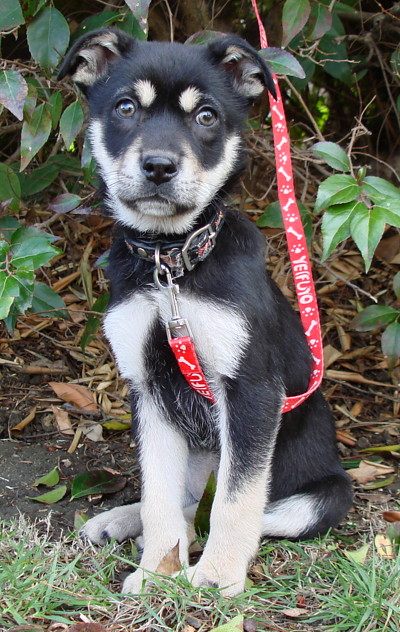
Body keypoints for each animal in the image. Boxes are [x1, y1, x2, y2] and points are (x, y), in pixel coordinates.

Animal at [57, 27, 352, 596]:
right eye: (125, 107)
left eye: (207, 117)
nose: (158, 167)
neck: (171, 264)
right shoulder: (147, 388)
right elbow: (159, 496)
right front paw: (157, 571)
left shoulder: (251, 390)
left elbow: (236, 503)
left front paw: (214, 579)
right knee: (186, 503)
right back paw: (120, 522)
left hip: (325, 495)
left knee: (236, 509)